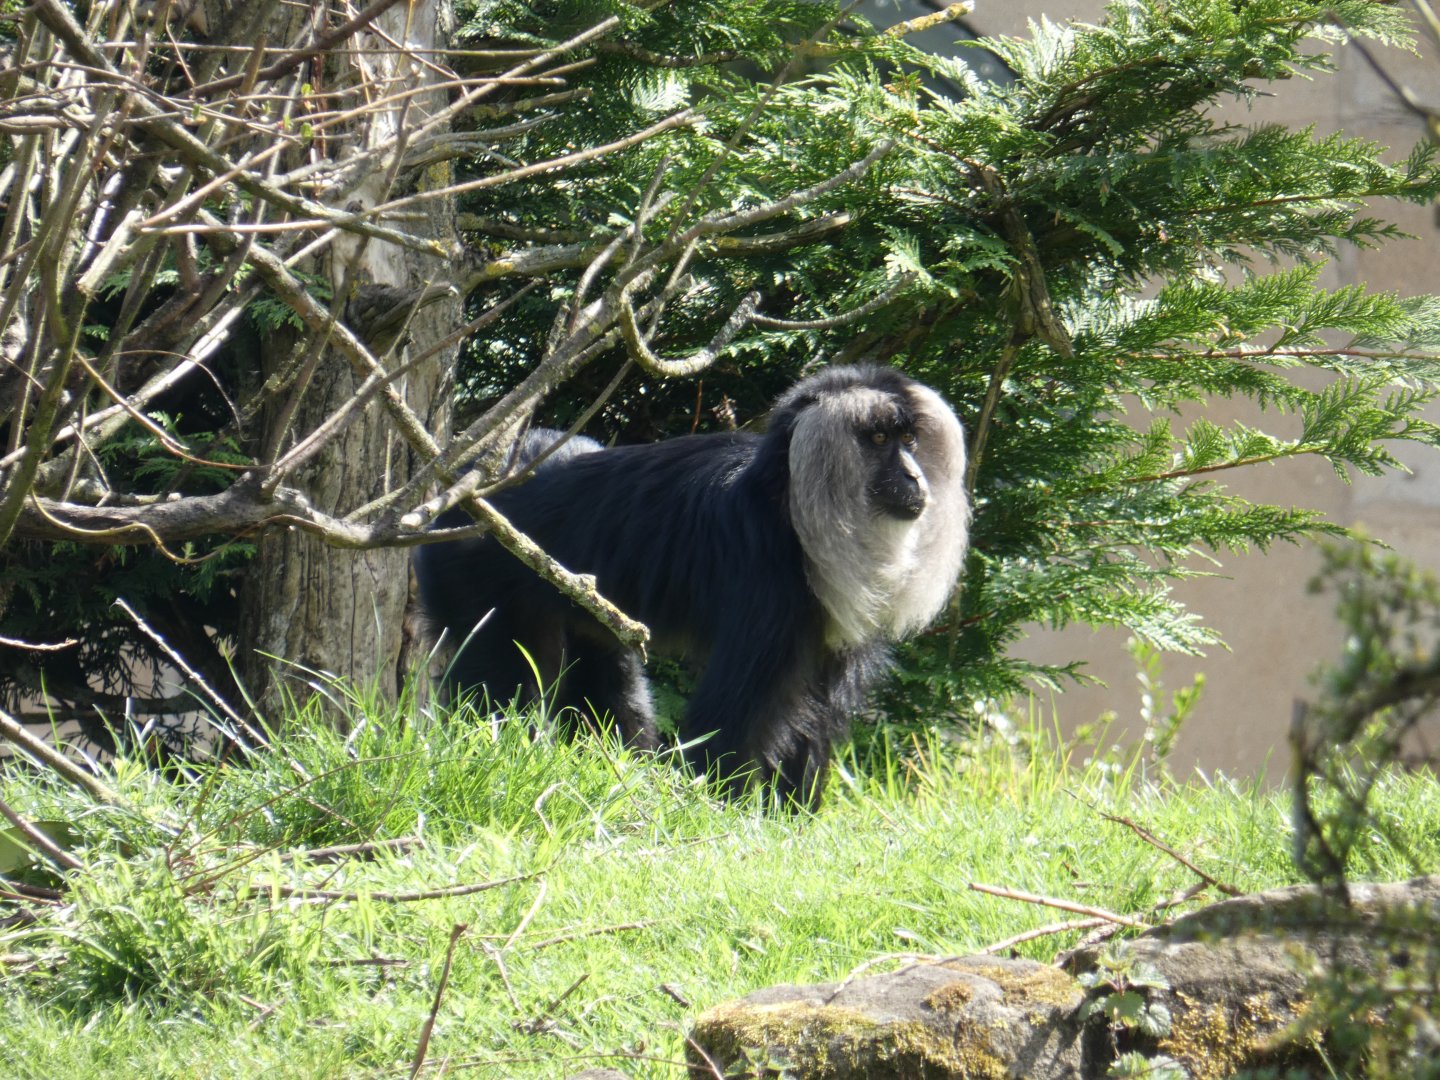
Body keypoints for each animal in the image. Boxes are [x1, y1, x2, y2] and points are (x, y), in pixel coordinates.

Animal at [414, 365, 970, 808]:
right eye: (877, 441)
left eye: (909, 441)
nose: (914, 478)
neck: (788, 509)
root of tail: (466, 491)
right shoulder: (767, 582)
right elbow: (730, 721)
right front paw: (719, 818)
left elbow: (815, 719)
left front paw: (790, 824)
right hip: (469, 578)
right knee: (497, 685)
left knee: (611, 680)